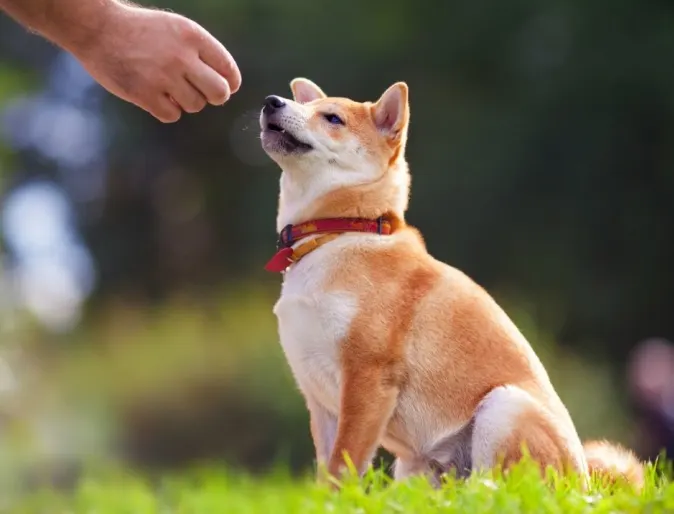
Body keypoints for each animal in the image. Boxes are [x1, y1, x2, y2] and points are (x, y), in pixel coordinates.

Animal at [256, 79, 640, 488]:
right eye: (303, 105)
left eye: (332, 118)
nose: (272, 101)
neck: (337, 233)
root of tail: (584, 483)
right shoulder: (319, 398)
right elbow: (326, 470)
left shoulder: (367, 379)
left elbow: (344, 465)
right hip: (415, 467)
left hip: (502, 407)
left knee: (497, 488)